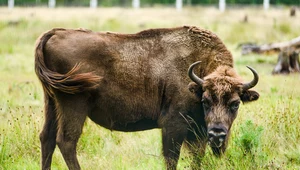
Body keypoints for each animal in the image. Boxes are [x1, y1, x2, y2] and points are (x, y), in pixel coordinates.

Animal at [35, 25, 258, 169]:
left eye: (235, 104)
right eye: (205, 101)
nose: (218, 134)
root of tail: (55, 32)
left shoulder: (199, 133)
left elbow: (197, 159)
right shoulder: (173, 126)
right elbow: (171, 158)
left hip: (51, 102)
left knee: (47, 138)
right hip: (73, 105)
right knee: (66, 140)